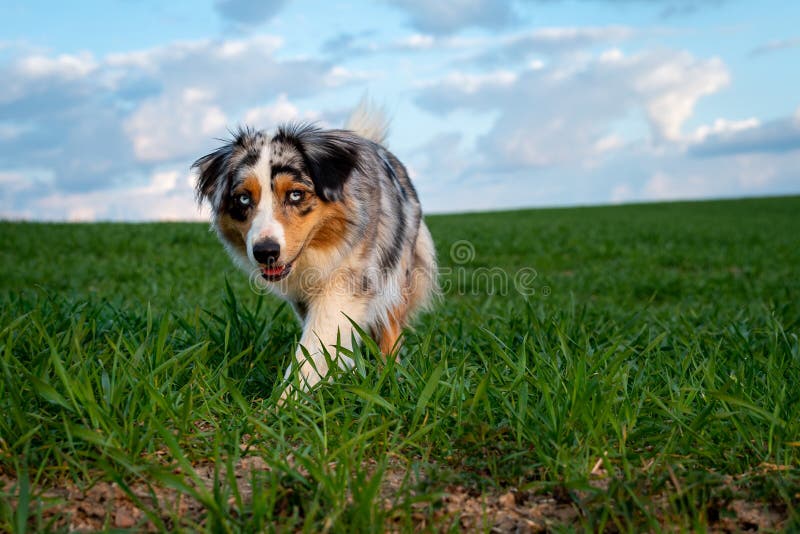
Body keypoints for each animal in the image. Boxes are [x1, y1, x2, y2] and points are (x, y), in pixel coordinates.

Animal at [195, 102, 438, 400]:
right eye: (243, 198)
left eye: (295, 194)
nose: (265, 252)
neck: (316, 251)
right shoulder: (301, 297)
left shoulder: (350, 281)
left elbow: (317, 341)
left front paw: (285, 403)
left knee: (390, 324)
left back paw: (391, 375)